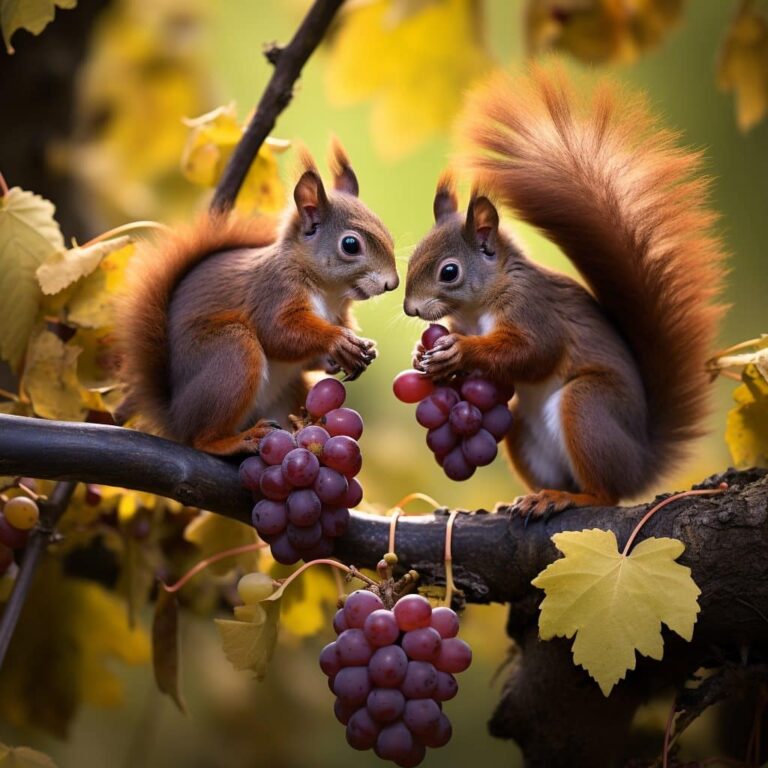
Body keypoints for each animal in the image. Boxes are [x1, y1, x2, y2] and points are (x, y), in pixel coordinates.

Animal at [116, 140, 398, 455]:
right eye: (350, 244)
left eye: (387, 234)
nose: (392, 283)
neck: (330, 293)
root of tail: (176, 418)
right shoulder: (272, 291)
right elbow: (277, 332)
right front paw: (337, 340)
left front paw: (357, 351)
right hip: (232, 355)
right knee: (203, 437)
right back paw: (237, 440)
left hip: (287, 393)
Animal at [404, 67, 726, 518]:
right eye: (413, 256)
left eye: (449, 272)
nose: (409, 308)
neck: (479, 306)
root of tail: (640, 463)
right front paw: (423, 353)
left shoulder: (534, 311)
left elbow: (535, 351)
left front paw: (459, 350)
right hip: (521, 428)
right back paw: (533, 496)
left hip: (587, 406)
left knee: (605, 494)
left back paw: (567, 498)